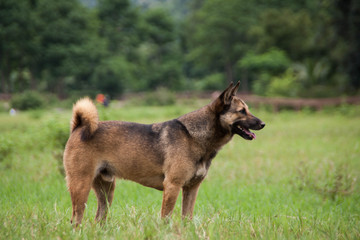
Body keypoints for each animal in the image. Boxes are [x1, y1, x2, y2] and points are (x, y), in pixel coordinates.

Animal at [63, 82, 264, 225]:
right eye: (242, 111)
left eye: (248, 109)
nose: (263, 124)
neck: (194, 136)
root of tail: (79, 126)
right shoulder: (172, 186)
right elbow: (166, 217)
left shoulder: (191, 189)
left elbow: (187, 218)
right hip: (81, 186)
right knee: (76, 219)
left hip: (107, 190)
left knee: (99, 218)